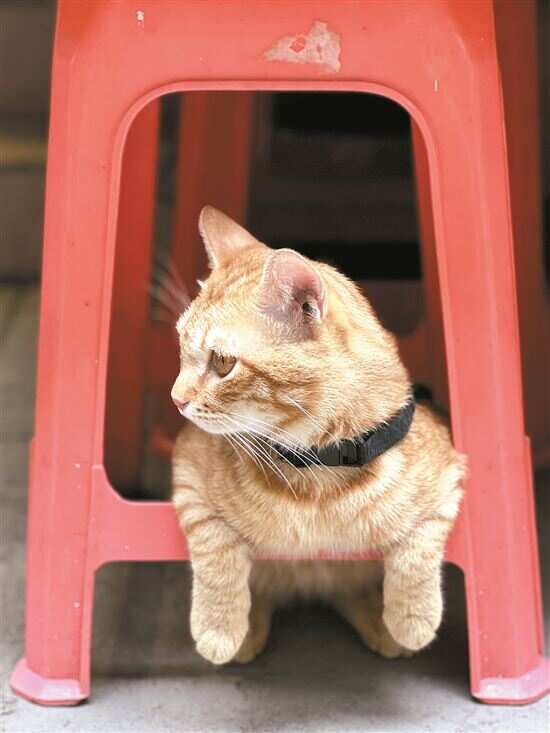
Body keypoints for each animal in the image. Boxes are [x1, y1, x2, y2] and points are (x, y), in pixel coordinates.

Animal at [172, 206, 466, 665]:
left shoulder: (449, 477)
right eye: (181, 346)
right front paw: (219, 627)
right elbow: (214, 544)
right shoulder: (187, 476)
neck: (318, 473)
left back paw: (382, 624)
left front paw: (412, 619)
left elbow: (418, 546)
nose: (176, 399)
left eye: (222, 363)